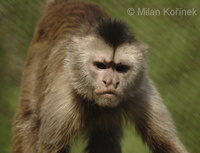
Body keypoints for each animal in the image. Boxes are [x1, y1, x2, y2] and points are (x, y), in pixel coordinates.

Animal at [12, 0, 189, 153]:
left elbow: (169, 145)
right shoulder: (63, 101)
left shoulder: (142, 92)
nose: (110, 82)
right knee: (30, 118)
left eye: (121, 68)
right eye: (101, 65)